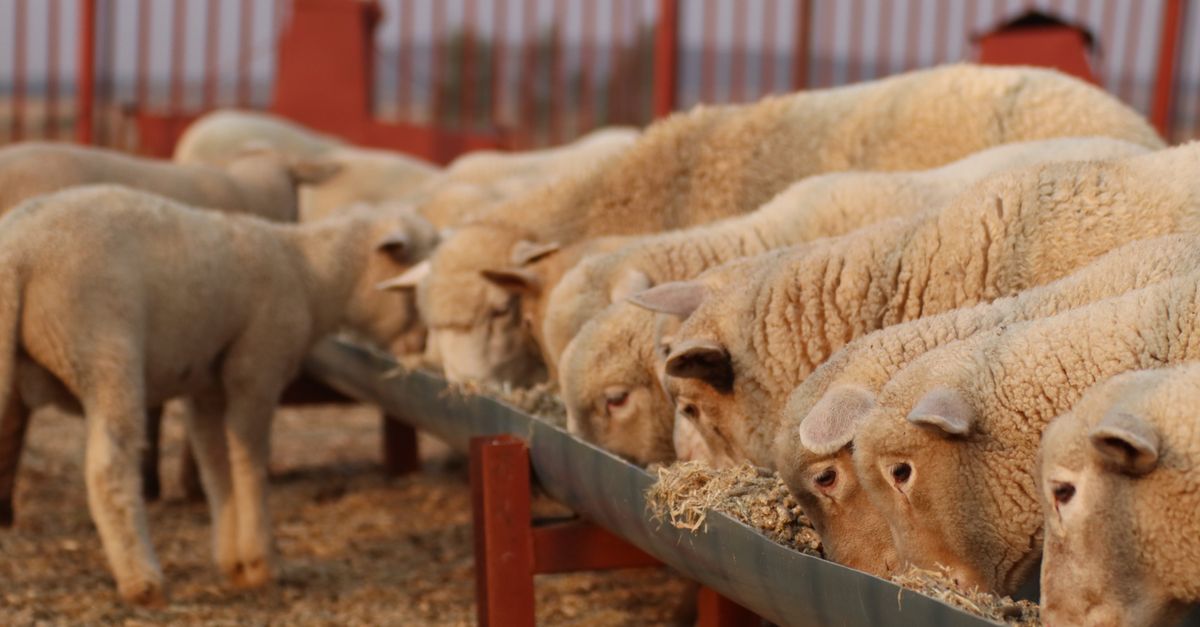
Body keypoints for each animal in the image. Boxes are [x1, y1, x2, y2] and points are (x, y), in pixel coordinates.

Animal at [0, 185, 438, 604]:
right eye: (413, 284)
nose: (424, 346)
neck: (310, 275)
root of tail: (19, 254)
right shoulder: (257, 366)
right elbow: (249, 463)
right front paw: (262, 563)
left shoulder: (206, 387)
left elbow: (216, 466)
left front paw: (235, 563)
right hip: (103, 349)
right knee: (109, 469)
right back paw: (143, 582)